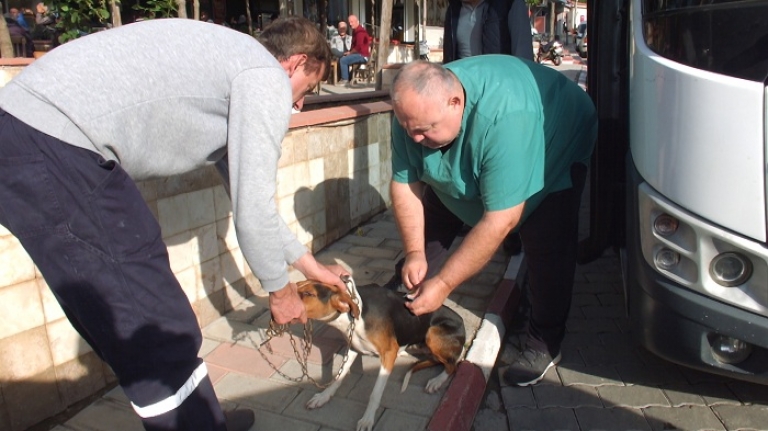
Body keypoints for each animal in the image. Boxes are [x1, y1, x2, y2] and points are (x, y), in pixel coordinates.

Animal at [296, 276, 464, 431]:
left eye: (308, 293)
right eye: (297, 284)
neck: (357, 313)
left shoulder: (388, 354)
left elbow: (375, 394)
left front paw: (367, 419)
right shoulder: (353, 348)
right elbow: (338, 376)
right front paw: (324, 396)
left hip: (432, 333)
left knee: (453, 366)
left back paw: (437, 380)